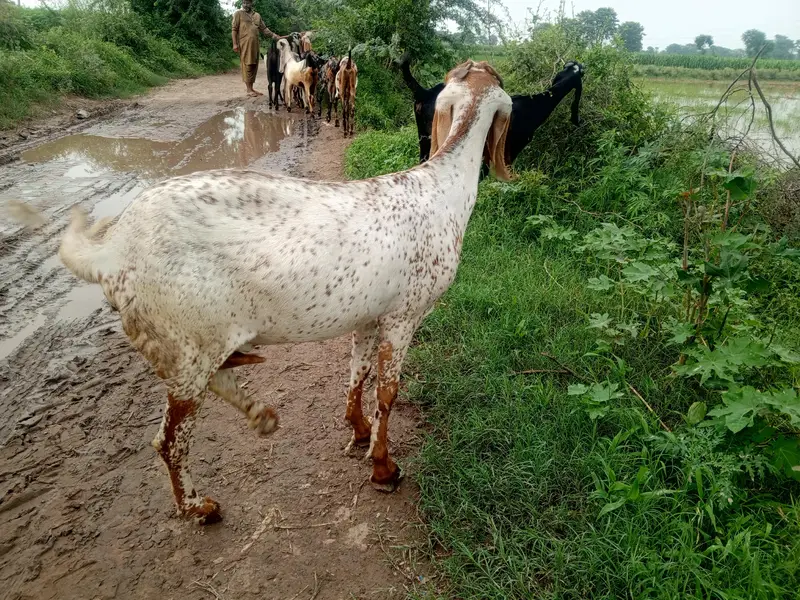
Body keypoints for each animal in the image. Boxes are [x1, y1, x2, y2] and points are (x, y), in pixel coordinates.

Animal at [28, 59, 512, 525]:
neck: (440, 188)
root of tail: (111, 250)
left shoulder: (369, 316)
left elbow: (357, 374)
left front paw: (356, 430)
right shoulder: (404, 315)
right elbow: (387, 394)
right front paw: (383, 467)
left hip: (192, 341)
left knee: (214, 381)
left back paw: (258, 414)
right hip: (187, 343)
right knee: (170, 441)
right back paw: (198, 507)